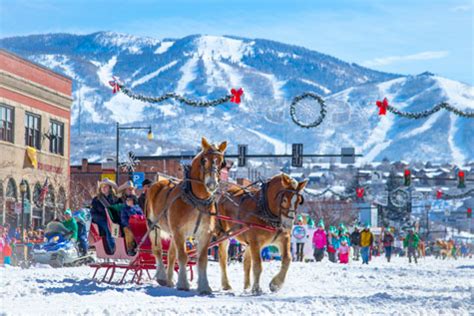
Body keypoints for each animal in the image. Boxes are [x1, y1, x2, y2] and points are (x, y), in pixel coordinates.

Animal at [147, 137, 227, 296]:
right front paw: (183, 284)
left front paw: (204, 286)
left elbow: (202, 259)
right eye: (204, 160)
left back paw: (169, 280)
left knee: (170, 254)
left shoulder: (205, 233)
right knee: (157, 250)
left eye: (222, 162)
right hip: (154, 225)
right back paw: (162, 276)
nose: (212, 183)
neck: (197, 199)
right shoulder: (179, 231)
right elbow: (183, 256)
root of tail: (158, 182)